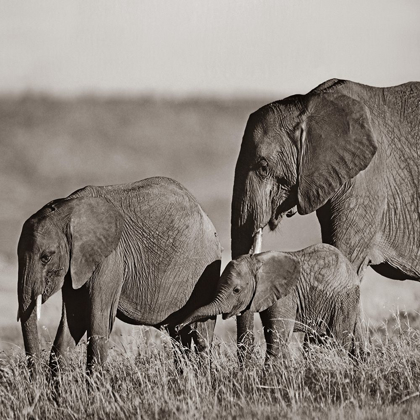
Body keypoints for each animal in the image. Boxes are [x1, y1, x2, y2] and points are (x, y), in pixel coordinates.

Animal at [18, 176, 221, 372]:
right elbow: (74, 320)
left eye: (46, 257)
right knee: (178, 336)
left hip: (206, 270)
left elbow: (99, 320)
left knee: (201, 333)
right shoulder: (75, 265)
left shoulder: (111, 258)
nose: (36, 379)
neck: (69, 208)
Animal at [179, 244, 366, 360]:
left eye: (236, 290)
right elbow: (273, 334)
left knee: (336, 341)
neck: (258, 260)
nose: (179, 326)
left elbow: (277, 338)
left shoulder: (285, 297)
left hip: (344, 300)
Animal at [231, 77, 420, 360]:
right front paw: (358, 360)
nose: (247, 362)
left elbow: (344, 261)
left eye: (263, 167)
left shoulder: (365, 183)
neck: (307, 105)